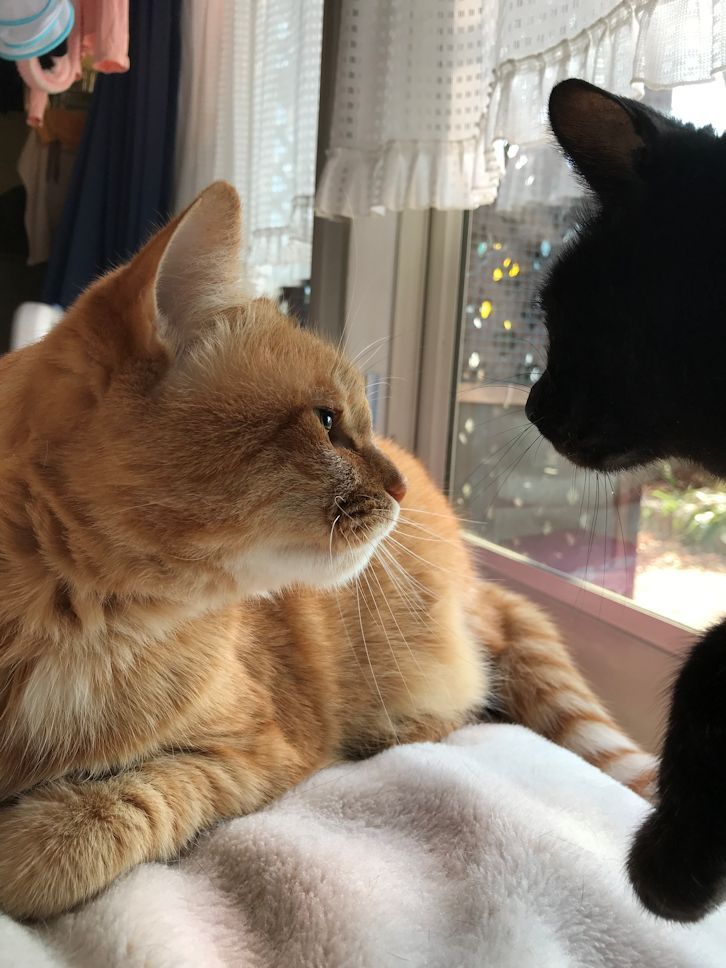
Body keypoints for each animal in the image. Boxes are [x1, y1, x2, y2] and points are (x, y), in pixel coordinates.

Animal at [0, 181, 655, 921]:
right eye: (327, 421)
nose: (398, 485)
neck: (73, 624)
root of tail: (472, 574)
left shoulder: (262, 752)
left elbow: (112, 816)